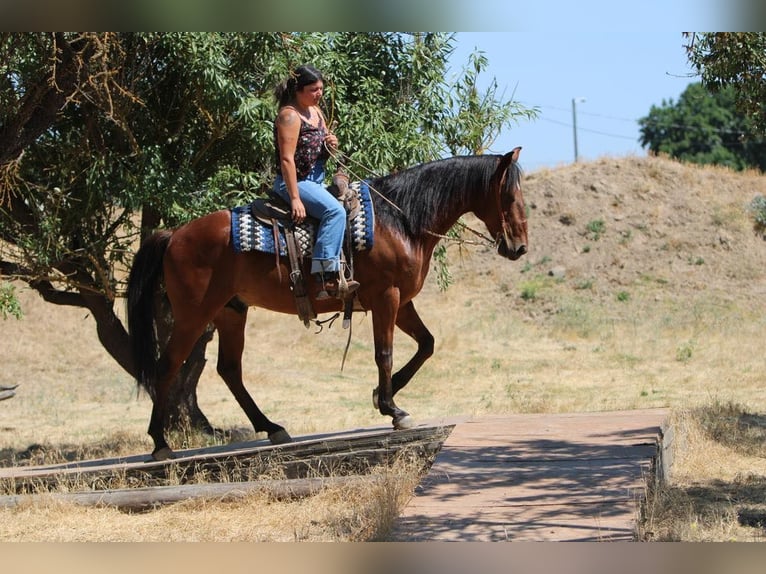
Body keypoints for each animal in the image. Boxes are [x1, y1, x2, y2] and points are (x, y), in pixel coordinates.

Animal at [129, 146, 532, 462]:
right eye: (510, 197)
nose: (520, 247)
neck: (400, 219)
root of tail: (174, 235)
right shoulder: (387, 298)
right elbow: (384, 354)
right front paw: (393, 409)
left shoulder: (401, 303)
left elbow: (426, 345)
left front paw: (383, 395)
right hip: (194, 315)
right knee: (167, 366)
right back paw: (160, 444)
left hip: (231, 311)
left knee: (229, 370)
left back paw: (271, 427)